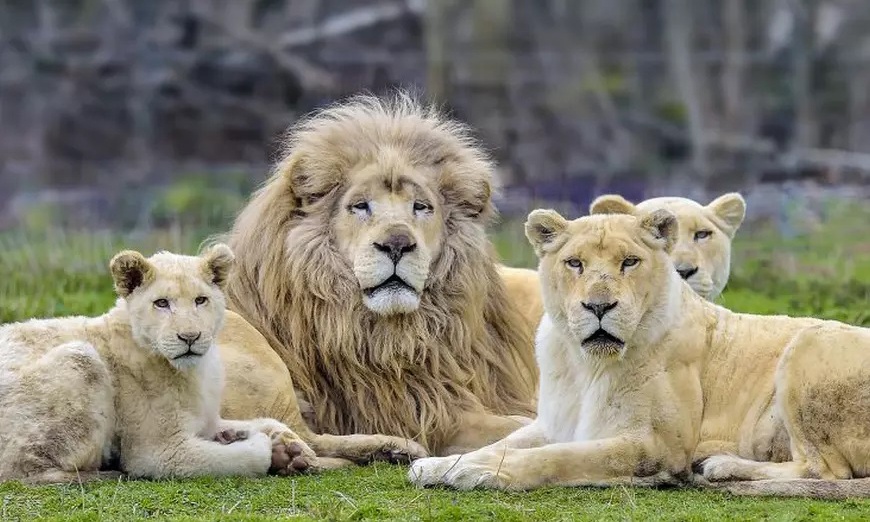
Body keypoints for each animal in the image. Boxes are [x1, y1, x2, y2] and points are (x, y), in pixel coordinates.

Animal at [0, 244, 314, 484]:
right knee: (25, 470)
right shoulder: (158, 452)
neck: (195, 372)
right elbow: (247, 455)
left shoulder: (205, 415)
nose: (190, 337)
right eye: (161, 303)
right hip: (80, 356)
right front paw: (262, 446)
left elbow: (264, 420)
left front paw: (289, 449)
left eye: (201, 300)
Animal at [218, 93, 540, 456]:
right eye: (360, 206)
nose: (397, 244)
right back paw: (390, 448)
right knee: (301, 434)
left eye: (421, 207)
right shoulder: (423, 413)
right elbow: (516, 424)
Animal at [412, 207, 870, 496]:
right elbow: (503, 441)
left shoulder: (654, 445)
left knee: (825, 470)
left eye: (630, 262)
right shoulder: (556, 421)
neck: (586, 365)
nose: (599, 306)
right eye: (575, 263)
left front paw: (478, 472)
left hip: (810, 342)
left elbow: (558, 456)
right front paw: (440, 465)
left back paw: (722, 466)